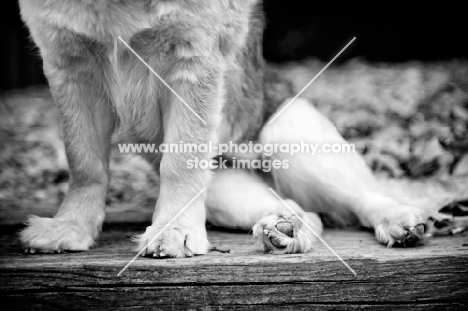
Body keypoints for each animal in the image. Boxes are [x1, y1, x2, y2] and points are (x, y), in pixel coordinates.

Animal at [18, 0, 434, 256]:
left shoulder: (192, 59)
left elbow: (181, 161)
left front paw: (175, 230)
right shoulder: (69, 67)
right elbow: (84, 162)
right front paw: (71, 227)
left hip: (287, 127)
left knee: (363, 199)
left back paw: (398, 221)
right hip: (224, 194)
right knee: (307, 214)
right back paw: (283, 231)